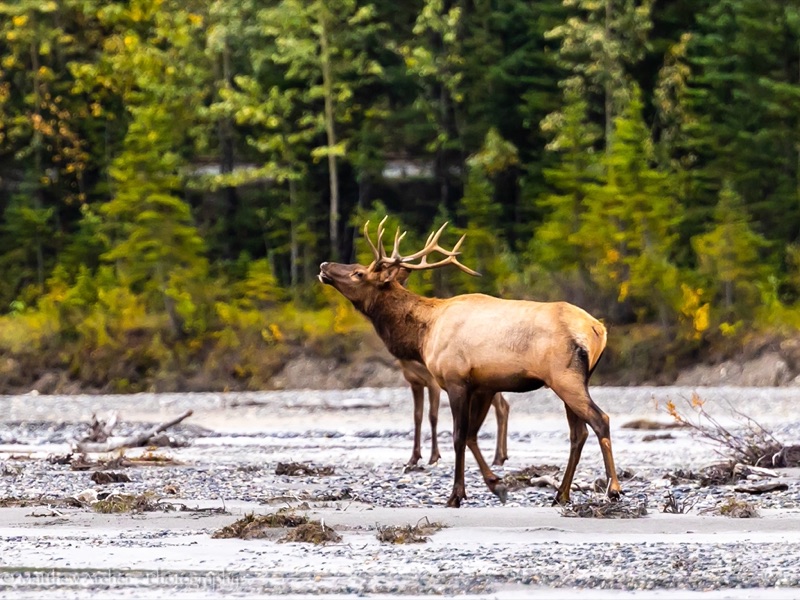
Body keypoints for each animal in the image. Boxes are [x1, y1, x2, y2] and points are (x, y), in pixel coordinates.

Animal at [318, 217, 622, 507]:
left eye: (359, 273)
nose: (324, 265)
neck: (423, 335)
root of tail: (598, 330)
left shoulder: (455, 380)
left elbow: (458, 435)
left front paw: (456, 495)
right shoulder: (483, 386)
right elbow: (472, 436)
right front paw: (495, 484)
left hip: (564, 377)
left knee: (600, 420)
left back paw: (613, 489)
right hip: (574, 380)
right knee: (577, 433)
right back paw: (561, 494)